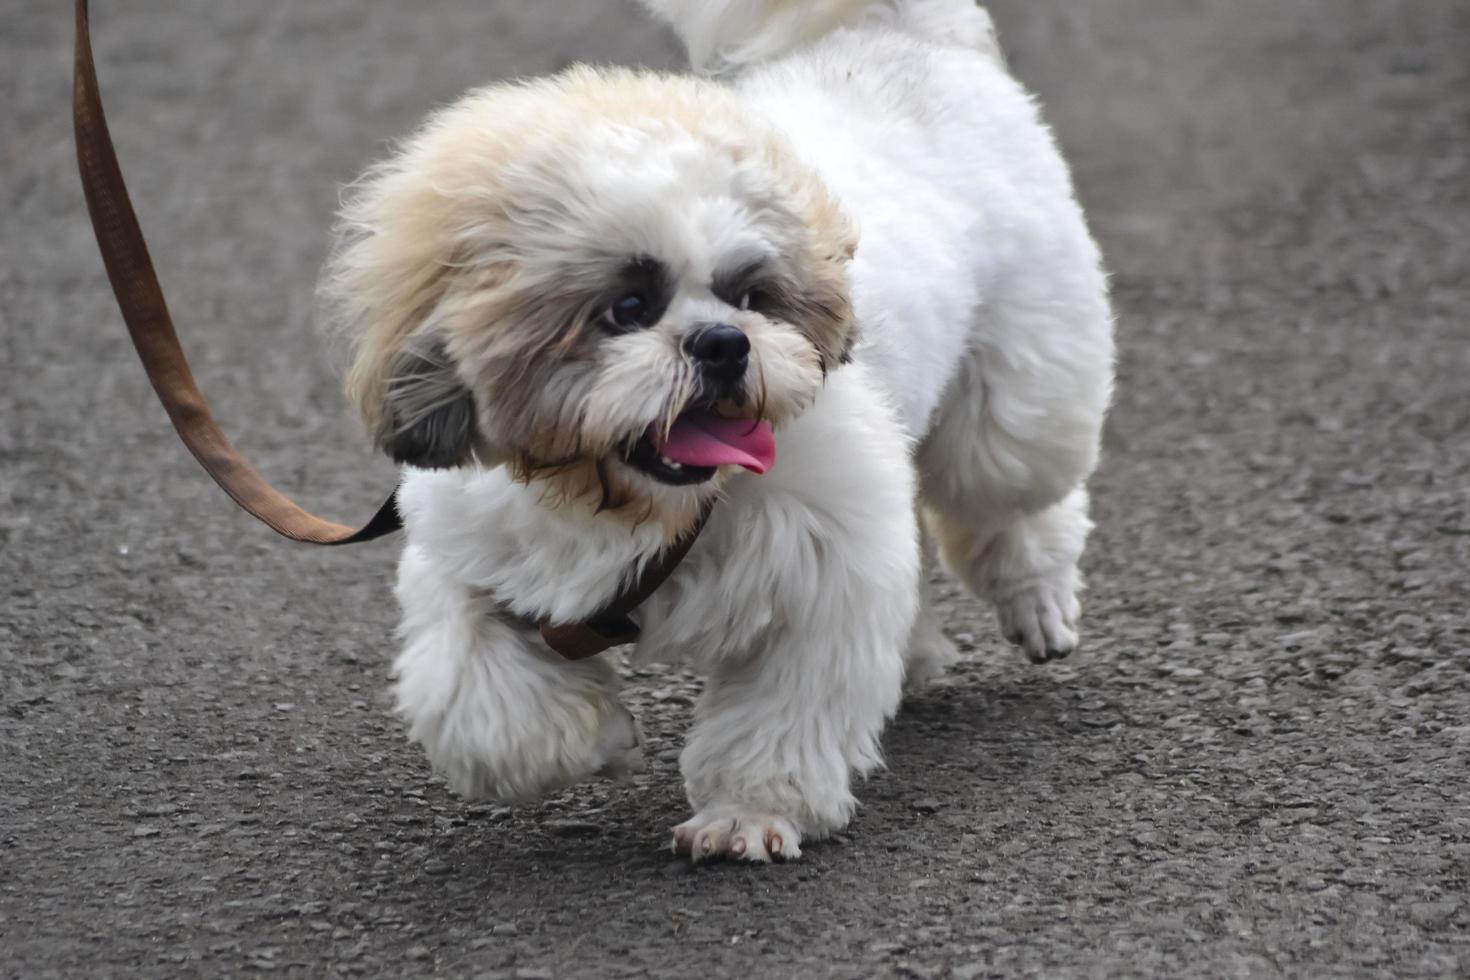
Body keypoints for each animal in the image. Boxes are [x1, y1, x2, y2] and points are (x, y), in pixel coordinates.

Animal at [313, 0, 1111, 863]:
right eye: (627, 307)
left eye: (751, 296)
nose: (724, 343)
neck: (628, 501)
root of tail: (897, 32)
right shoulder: (471, 559)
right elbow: (483, 707)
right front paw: (599, 740)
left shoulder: (826, 568)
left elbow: (781, 714)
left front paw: (748, 814)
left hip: (1016, 388)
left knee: (1009, 493)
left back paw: (1036, 596)